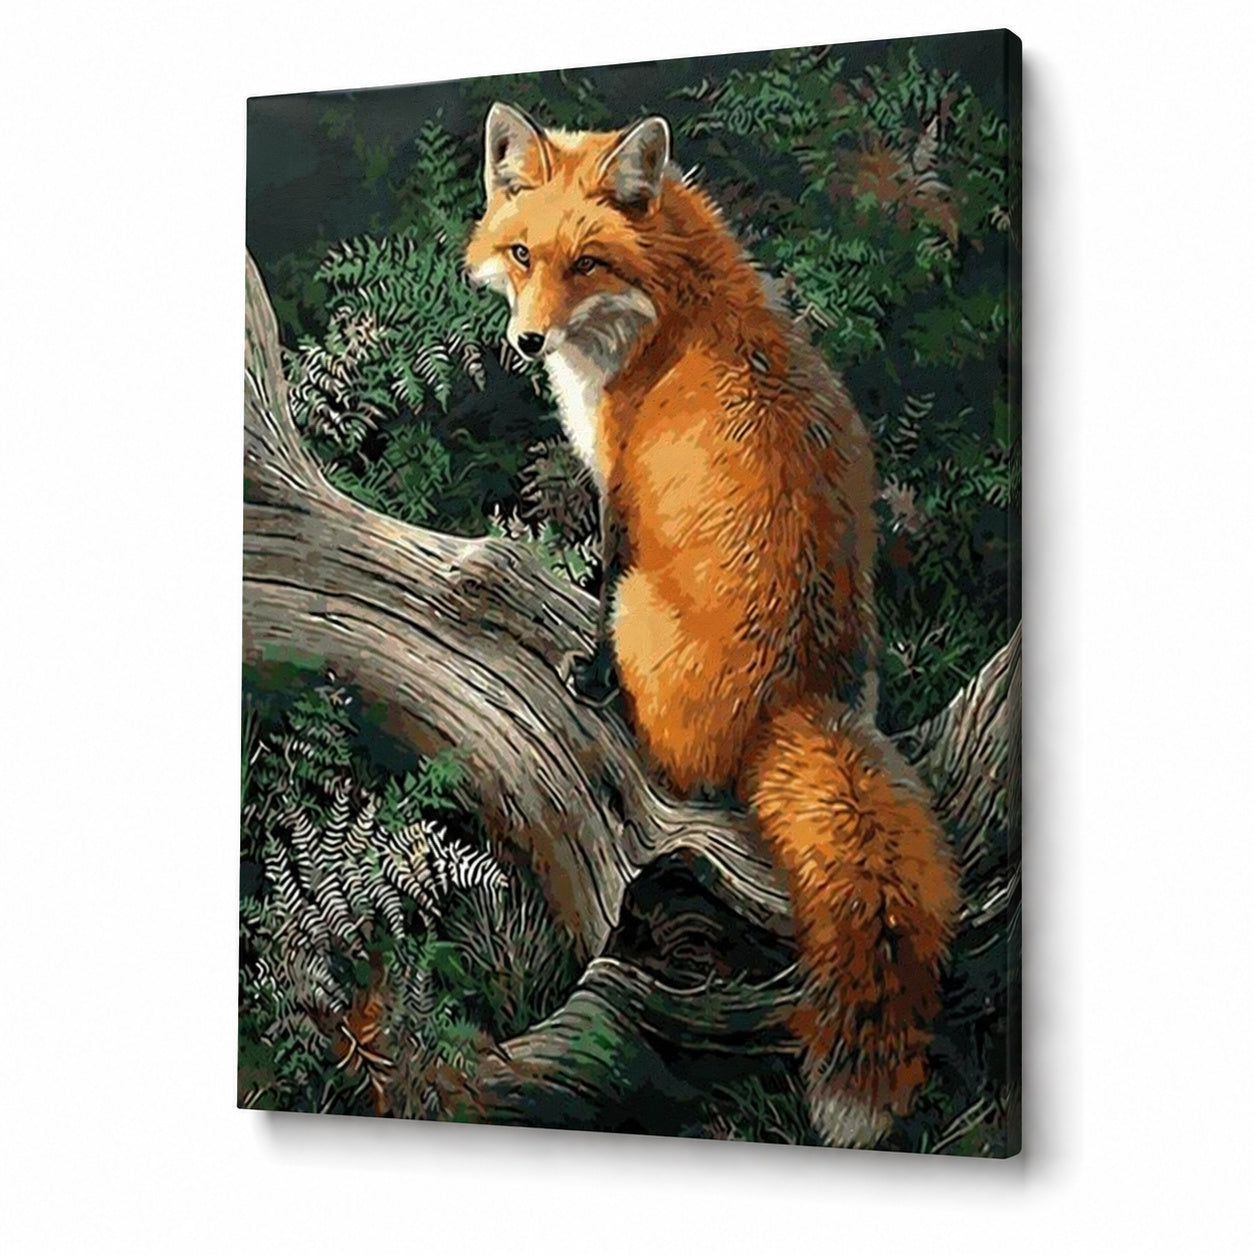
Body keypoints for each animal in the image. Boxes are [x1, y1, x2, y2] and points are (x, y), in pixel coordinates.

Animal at [465, 102, 960, 1147]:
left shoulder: (619, 490)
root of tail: (801, 701)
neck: (673, 308)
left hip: (649, 610)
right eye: (523, 254)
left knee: (678, 762)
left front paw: (587, 672)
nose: (527, 344)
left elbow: (601, 578)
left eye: (587, 263)